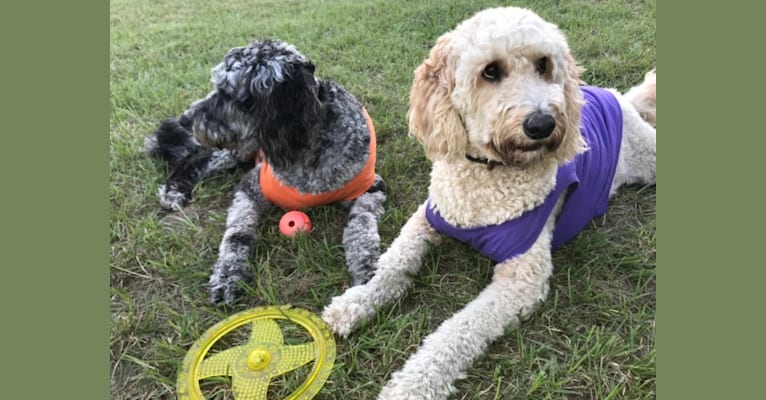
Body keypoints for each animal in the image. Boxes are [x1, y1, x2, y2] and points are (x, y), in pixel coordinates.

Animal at [145, 39, 388, 304]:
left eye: (227, 93)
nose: (185, 119)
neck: (305, 154)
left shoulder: (371, 187)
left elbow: (361, 226)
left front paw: (368, 269)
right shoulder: (249, 187)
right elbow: (236, 234)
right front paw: (227, 275)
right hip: (240, 147)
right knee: (196, 158)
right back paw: (174, 189)